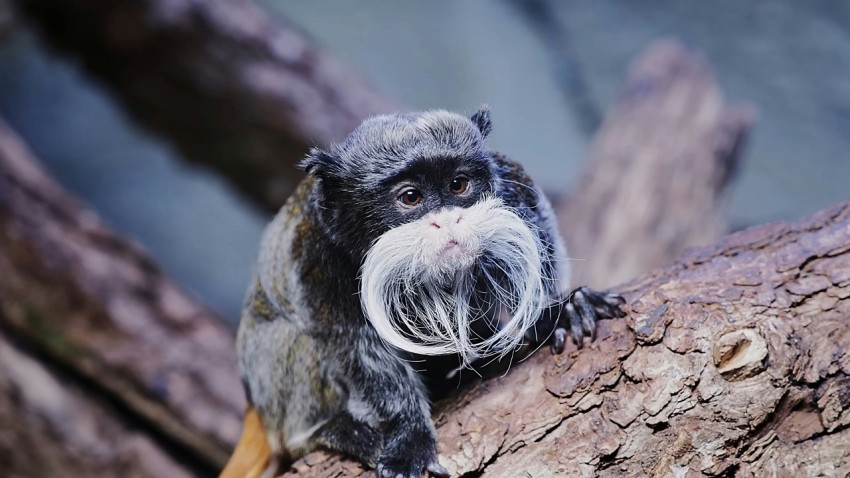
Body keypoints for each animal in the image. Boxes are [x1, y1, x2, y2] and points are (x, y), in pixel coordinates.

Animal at [225, 108, 624, 478]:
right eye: (411, 197)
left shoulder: (513, 186)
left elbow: (540, 252)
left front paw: (557, 313)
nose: (448, 220)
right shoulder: (315, 254)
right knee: (293, 340)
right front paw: (410, 438)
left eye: (458, 185)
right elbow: (355, 345)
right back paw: (326, 430)